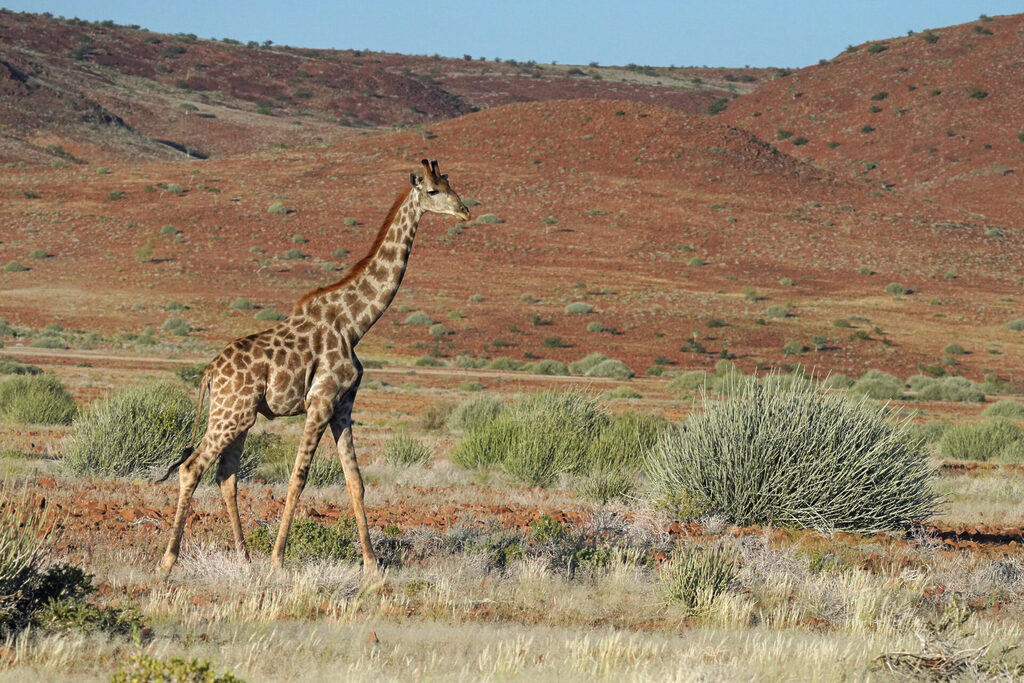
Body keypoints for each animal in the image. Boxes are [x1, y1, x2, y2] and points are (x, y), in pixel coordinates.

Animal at [157, 159, 470, 575]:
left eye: (450, 184)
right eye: (433, 191)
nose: (465, 211)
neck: (355, 323)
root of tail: (209, 373)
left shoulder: (342, 407)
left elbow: (355, 482)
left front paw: (372, 565)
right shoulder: (320, 401)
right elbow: (298, 479)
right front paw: (277, 560)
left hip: (241, 417)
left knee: (226, 475)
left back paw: (244, 559)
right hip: (230, 414)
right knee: (192, 468)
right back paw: (168, 561)